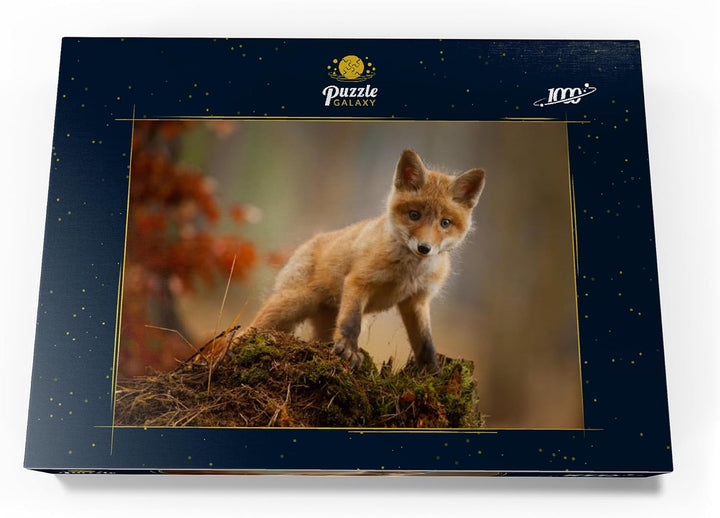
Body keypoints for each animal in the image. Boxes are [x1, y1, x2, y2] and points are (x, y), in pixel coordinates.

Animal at [248, 149, 486, 371]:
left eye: (445, 223)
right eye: (414, 215)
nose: (424, 248)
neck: (408, 272)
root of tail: (307, 243)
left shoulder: (417, 300)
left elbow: (425, 342)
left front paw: (432, 371)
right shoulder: (359, 281)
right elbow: (352, 322)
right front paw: (349, 350)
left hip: (322, 323)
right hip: (291, 305)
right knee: (250, 328)